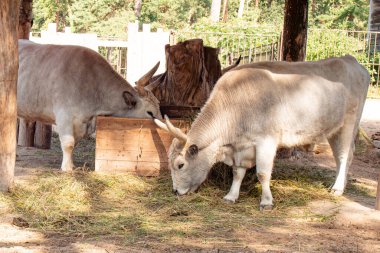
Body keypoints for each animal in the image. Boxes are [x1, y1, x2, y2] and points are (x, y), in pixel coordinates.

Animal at [154, 55, 368, 211]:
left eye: (180, 165)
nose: (175, 191)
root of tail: (352, 60)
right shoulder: (240, 146)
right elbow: (238, 172)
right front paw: (231, 196)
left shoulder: (266, 141)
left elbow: (263, 173)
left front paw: (266, 201)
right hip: (334, 129)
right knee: (340, 157)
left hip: (350, 122)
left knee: (345, 155)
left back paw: (338, 187)